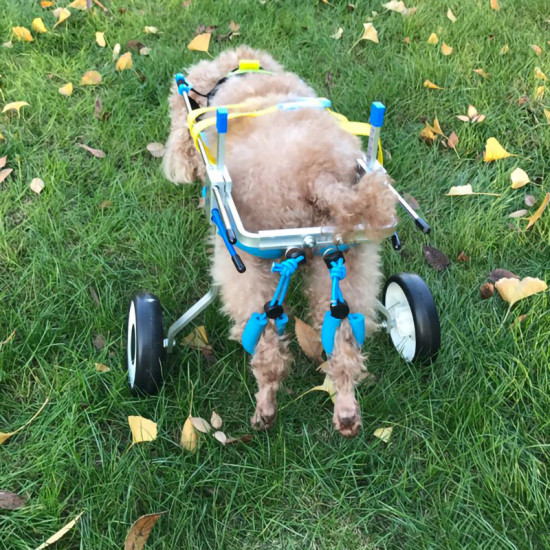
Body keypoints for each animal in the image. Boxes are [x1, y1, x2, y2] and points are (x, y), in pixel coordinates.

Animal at [163, 45, 396, 438]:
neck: (238, 75)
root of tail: (318, 177)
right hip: (349, 260)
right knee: (345, 340)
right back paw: (347, 411)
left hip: (245, 266)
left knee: (267, 345)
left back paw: (265, 408)